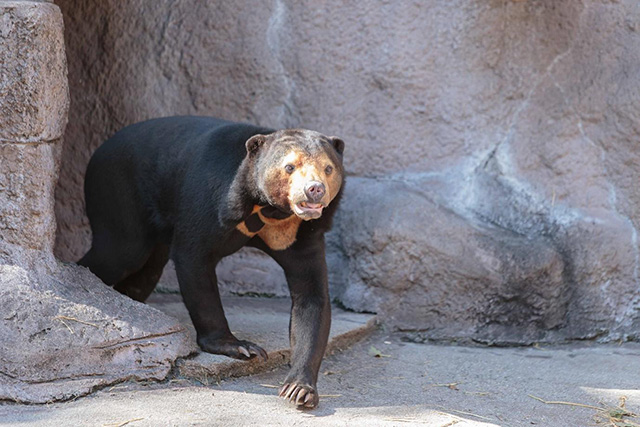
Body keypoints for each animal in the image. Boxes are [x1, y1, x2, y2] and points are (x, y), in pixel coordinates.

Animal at [82, 116, 348, 408]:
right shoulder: (211, 198)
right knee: (119, 251)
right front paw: (240, 346)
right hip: (117, 192)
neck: (269, 212)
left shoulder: (300, 234)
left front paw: (299, 389)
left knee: (147, 270)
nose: (314, 190)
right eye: (290, 166)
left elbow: (311, 297)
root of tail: (100, 149)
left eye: (328, 168)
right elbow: (194, 257)